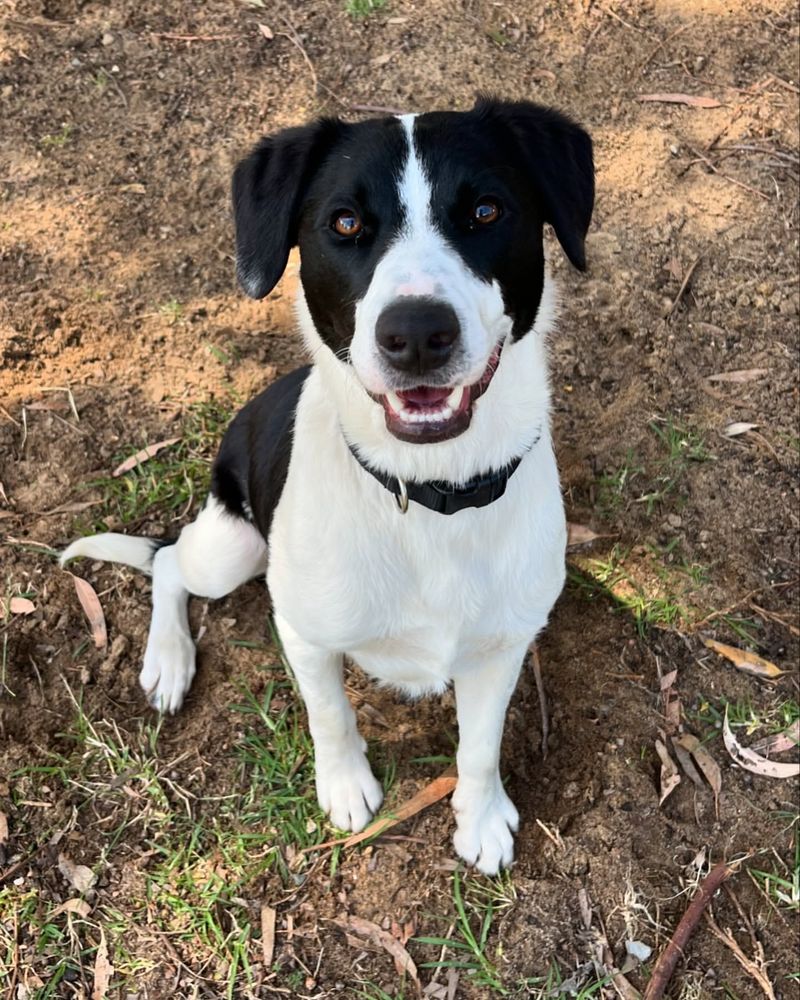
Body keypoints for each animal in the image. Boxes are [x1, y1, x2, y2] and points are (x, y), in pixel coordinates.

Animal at [61, 97, 592, 872]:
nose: (416, 333)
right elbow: (331, 715)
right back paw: (169, 661)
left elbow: (481, 746)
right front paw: (345, 788)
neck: (425, 496)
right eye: (344, 223)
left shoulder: (501, 647)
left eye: (486, 210)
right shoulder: (305, 634)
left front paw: (481, 817)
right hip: (232, 549)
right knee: (169, 562)